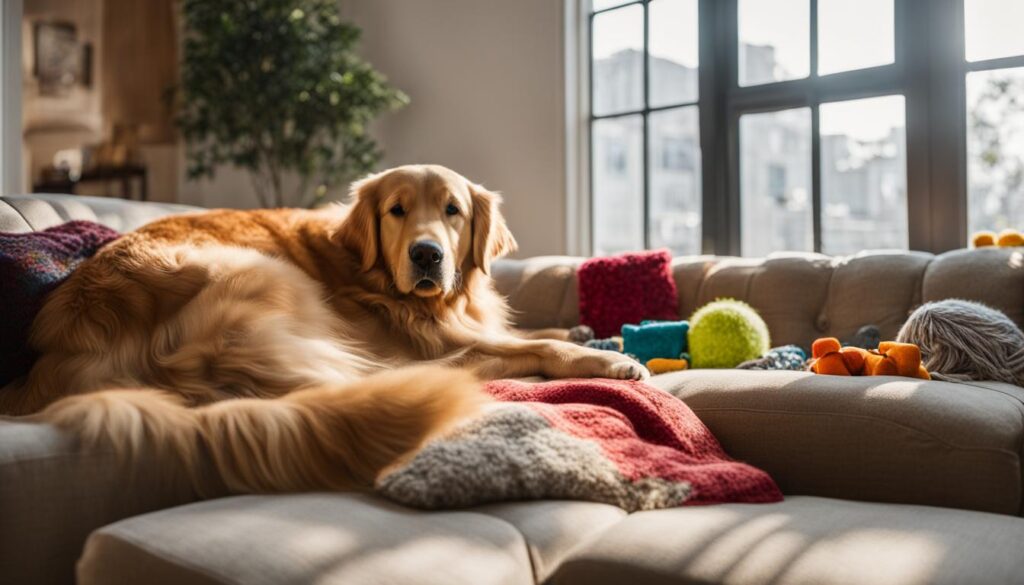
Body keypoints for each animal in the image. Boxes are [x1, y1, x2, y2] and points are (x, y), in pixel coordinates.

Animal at [6, 165, 647, 499]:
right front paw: (611, 358)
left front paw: (592, 328)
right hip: (270, 275)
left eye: (454, 210)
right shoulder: (428, 337)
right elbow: (532, 343)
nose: (427, 256)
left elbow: (529, 326)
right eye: (395, 210)